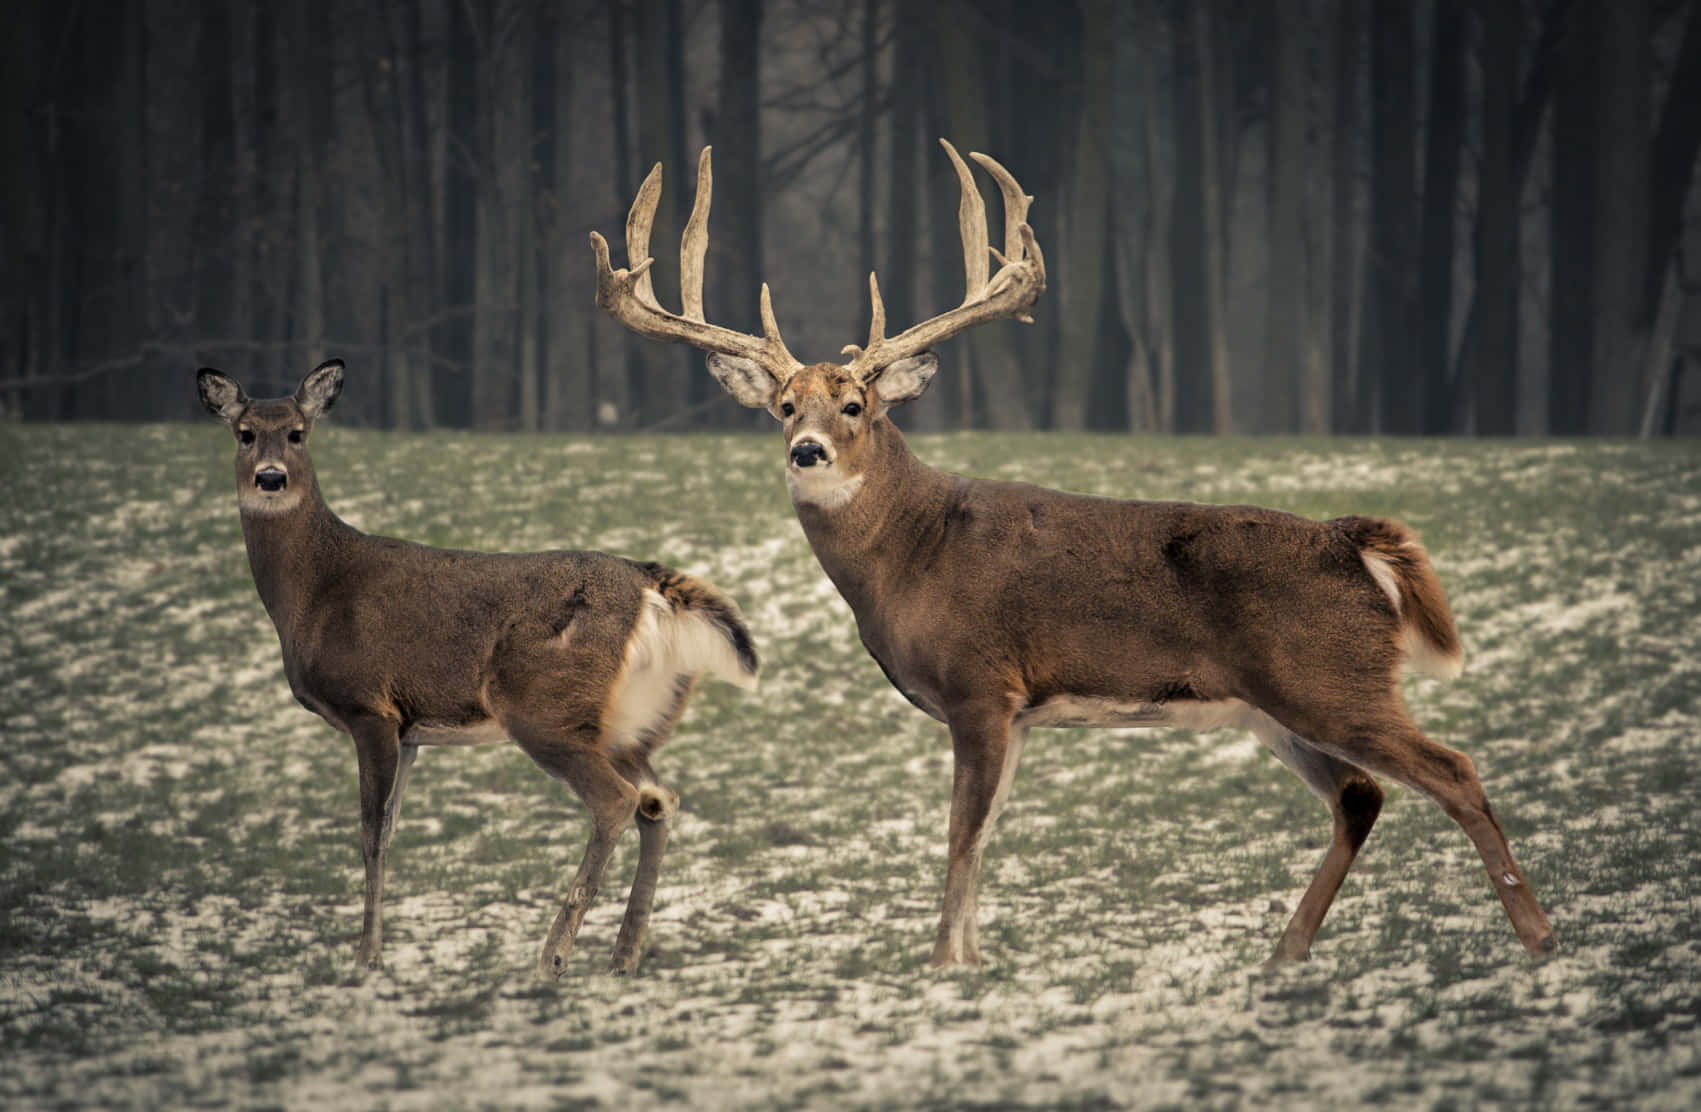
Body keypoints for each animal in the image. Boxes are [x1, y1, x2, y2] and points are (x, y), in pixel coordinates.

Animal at [197, 360, 758, 978]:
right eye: (245, 433)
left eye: (298, 432)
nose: (270, 478)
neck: (312, 593)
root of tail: (648, 587)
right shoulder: (411, 731)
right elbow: (388, 832)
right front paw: (375, 950)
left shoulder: (370, 706)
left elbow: (368, 833)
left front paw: (365, 957)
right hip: (631, 724)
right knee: (659, 801)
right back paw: (622, 957)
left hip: (545, 709)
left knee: (616, 800)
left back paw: (553, 955)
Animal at [589, 141, 1557, 969]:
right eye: (784, 405)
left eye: (855, 403)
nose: (806, 451)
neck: (911, 555)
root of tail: (1351, 543)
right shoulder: (1018, 713)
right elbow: (984, 842)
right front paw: (971, 964)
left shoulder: (982, 685)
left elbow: (961, 839)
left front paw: (941, 968)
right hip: (1274, 705)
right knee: (1361, 794)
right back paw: (1285, 953)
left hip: (1330, 677)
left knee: (1451, 769)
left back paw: (1537, 937)